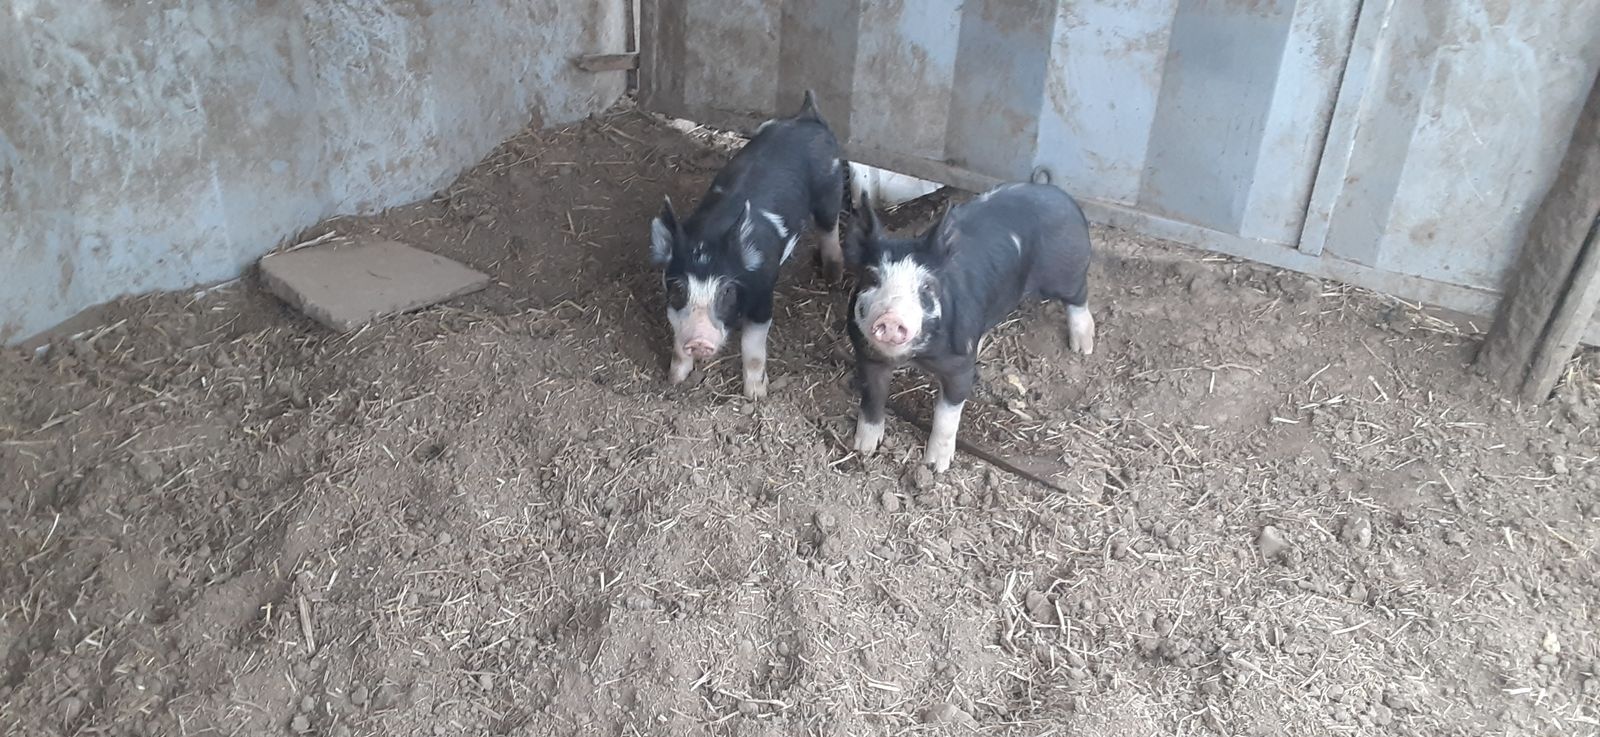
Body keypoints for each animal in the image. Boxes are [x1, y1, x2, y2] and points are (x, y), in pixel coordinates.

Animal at [649, 90, 848, 399]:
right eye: (679, 288)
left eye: (727, 290)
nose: (700, 341)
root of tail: (806, 117)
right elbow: (678, 342)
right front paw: (675, 380)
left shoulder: (763, 297)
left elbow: (752, 348)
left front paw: (756, 395)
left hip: (830, 190)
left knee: (830, 229)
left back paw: (833, 277)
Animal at [845, 183, 1096, 472]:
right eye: (871, 278)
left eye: (927, 286)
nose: (891, 318)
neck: (913, 357)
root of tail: (1060, 195)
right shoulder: (867, 355)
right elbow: (872, 398)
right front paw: (863, 448)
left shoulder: (960, 364)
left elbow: (946, 415)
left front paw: (936, 467)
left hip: (1066, 274)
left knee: (1079, 296)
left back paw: (1083, 348)